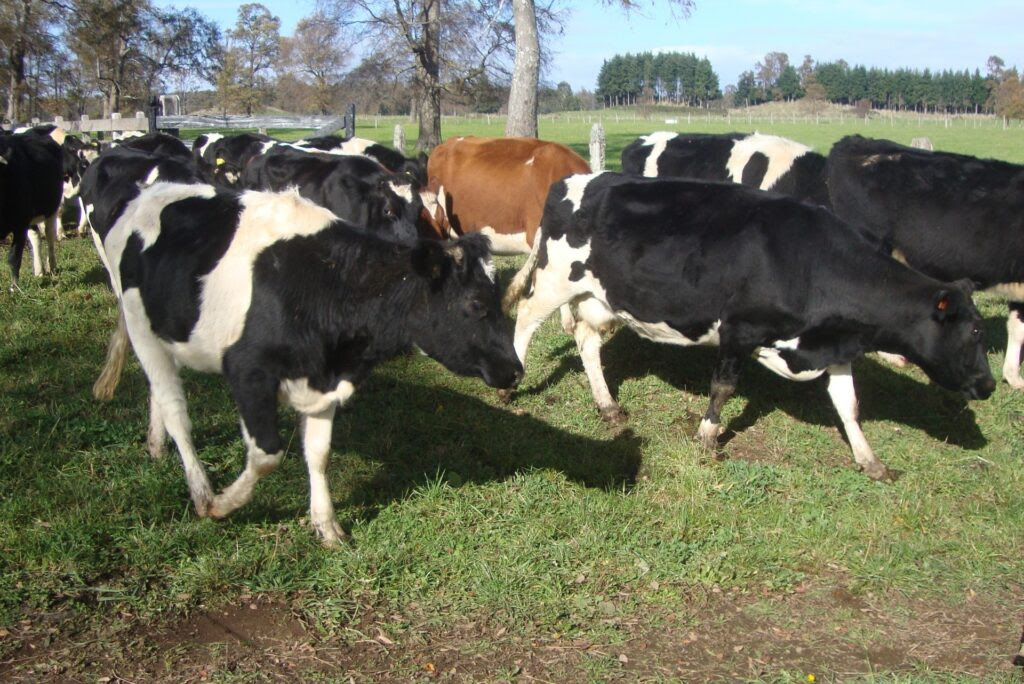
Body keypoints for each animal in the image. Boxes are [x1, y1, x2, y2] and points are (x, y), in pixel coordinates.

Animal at [0, 130, 64, 288]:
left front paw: (15, 288)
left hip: (51, 209)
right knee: (36, 237)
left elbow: (14, 257)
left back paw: (52, 266)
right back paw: (39, 270)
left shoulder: (20, 224)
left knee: (49, 236)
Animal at [95, 182, 522, 544]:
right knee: (176, 412)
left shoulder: (324, 379)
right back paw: (200, 490)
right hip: (139, 325)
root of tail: (146, 193)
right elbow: (267, 454)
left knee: (159, 394)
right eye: (476, 304)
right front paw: (224, 504)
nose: (516, 370)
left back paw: (156, 445)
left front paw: (326, 525)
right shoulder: (249, 372)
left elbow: (318, 453)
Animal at [503, 172, 995, 481]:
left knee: (586, 341)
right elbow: (722, 388)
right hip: (556, 280)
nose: (989, 385)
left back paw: (607, 406)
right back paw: (511, 385)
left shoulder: (834, 346)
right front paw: (706, 438)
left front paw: (869, 460)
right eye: (974, 333)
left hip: (600, 298)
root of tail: (573, 180)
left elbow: (849, 405)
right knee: (525, 319)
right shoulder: (740, 329)